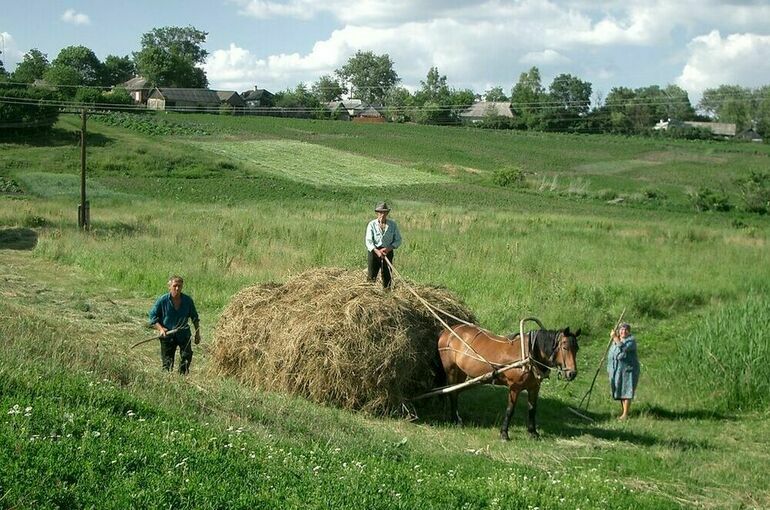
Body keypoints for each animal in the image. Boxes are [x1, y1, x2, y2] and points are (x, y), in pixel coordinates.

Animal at [436, 324, 580, 440]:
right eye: (565, 347)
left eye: (577, 348)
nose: (572, 373)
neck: (529, 355)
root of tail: (447, 331)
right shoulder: (514, 387)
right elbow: (510, 410)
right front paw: (504, 433)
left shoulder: (534, 387)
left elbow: (532, 409)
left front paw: (533, 433)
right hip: (451, 370)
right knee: (451, 393)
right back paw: (455, 419)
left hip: (461, 372)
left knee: (455, 391)